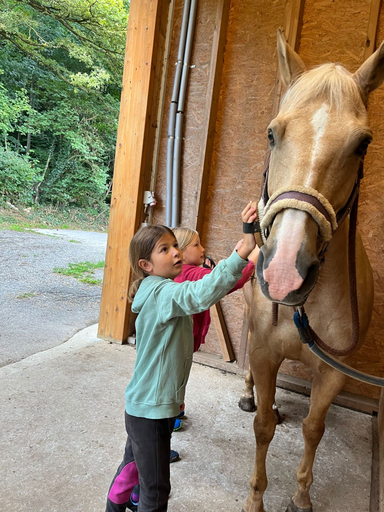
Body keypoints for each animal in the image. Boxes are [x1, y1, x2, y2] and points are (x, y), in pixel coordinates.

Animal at [242, 32, 382, 512]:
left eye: (362, 143)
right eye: (271, 133)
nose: (286, 272)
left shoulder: (334, 371)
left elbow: (313, 429)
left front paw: (302, 495)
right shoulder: (264, 351)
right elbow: (263, 428)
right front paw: (255, 498)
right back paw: (248, 394)